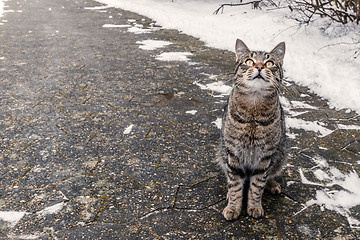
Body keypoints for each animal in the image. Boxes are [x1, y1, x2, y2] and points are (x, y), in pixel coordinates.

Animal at [218, 39, 286, 219]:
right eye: (249, 61)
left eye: (269, 63)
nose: (260, 66)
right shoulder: (233, 153)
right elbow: (235, 185)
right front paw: (233, 207)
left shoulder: (265, 156)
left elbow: (257, 185)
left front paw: (254, 206)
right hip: (222, 151)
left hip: (281, 153)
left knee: (270, 174)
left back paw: (272, 184)